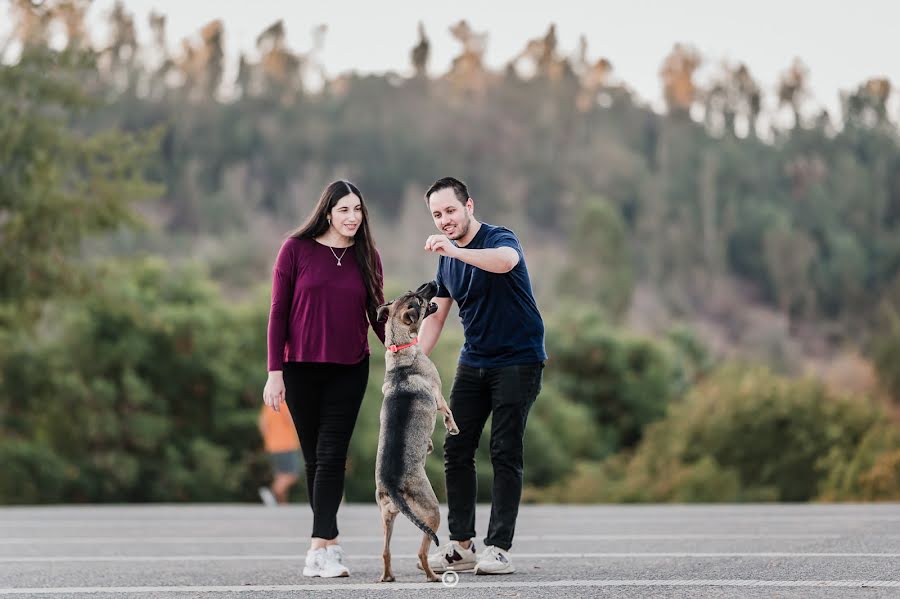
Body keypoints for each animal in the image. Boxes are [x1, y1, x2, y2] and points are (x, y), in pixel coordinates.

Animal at [374, 282, 460, 584]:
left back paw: (387, 577)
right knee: (422, 552)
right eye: (419, 299)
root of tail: (392, 486)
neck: (400, 347)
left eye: (414, 293)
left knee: (385, 551)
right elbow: (448, 411)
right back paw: (433, 576)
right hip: (432, 512)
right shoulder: (439, 395)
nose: (432, 284)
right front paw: (453, 428)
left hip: (386, 516)